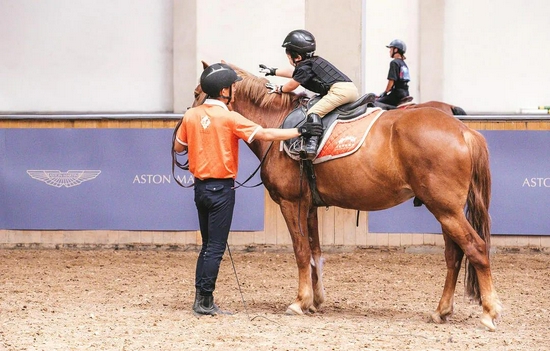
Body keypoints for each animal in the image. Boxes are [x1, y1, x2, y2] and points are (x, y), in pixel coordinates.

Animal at [187, 62, 504, 332]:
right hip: (446, 211)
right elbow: (314, 252)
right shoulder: (309, 206)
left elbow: (300, 251)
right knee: (454, 256)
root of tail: (463, 131)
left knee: (476, 248)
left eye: (196, 92)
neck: (279, 123)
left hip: (446, 210)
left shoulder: (291, 203)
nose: (189, 123)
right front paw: (315, 301)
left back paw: (489, 313)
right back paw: (442, 311)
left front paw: (299, 302)